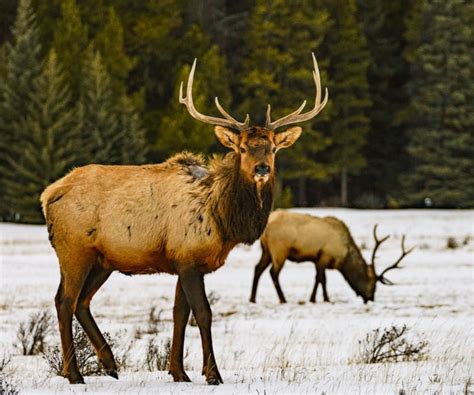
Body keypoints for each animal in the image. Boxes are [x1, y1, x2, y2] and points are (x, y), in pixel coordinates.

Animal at [40, 54, 328, 386]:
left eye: (272, 148)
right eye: (242, 148)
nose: (262, 169)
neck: (223, 219)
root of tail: (48, 195)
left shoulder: (184, 261)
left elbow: (179, 313)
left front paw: (178, 371)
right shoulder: (188, 259)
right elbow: (203, 313)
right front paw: (213, 374)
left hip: (103, 260)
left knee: (82, 302)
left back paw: (109, 363)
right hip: (74, 250)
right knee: (64, 301)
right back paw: (74, 373)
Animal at [250, 212, 412, 304]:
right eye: (373, 285)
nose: (370, 298)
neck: (343, 258)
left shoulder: (318, 259)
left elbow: (322, 279)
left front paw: (322, 298)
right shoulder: (324, 256)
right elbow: (320, 279)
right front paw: (318, 299)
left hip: (266, 250)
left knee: (257, 268)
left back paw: (252, 298)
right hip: (280, 249)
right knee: (273, 273)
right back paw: (283, 299)